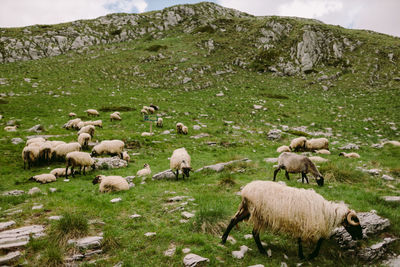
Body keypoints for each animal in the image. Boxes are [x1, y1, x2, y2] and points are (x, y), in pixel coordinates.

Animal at [220, 181, 364, 260]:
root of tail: (245, 190)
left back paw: (223, 240)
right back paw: (263, 251)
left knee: (233, 220)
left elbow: (313, 240)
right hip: (258, 214)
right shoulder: (306, 225)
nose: (361, 237)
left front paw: (306, 255)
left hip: (248, 210)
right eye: (355, 224)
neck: (326, 212)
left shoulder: (303, 225)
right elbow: (317, 241)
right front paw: (307, 256)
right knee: (254, 233)